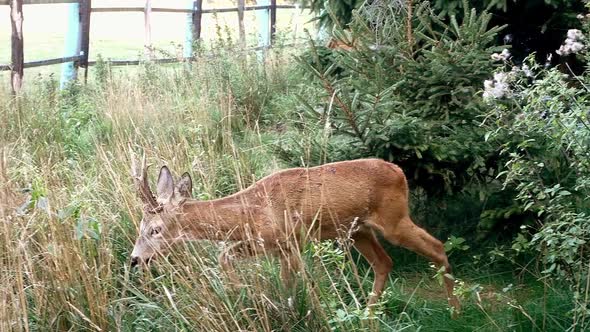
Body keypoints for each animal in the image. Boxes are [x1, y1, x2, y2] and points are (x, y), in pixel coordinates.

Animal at [130, 154, 462, 312]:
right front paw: (244, 293)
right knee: (384, 262)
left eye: (155, 230)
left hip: (394, 219)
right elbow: (230, 257)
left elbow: (298, 285)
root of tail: (399, 171)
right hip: (359, 230)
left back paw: (456, 311)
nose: (135, 259)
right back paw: (369, 317)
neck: (253, 209)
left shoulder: (289, 241)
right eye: (139, 228)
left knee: (437, 246)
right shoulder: (271, 245)